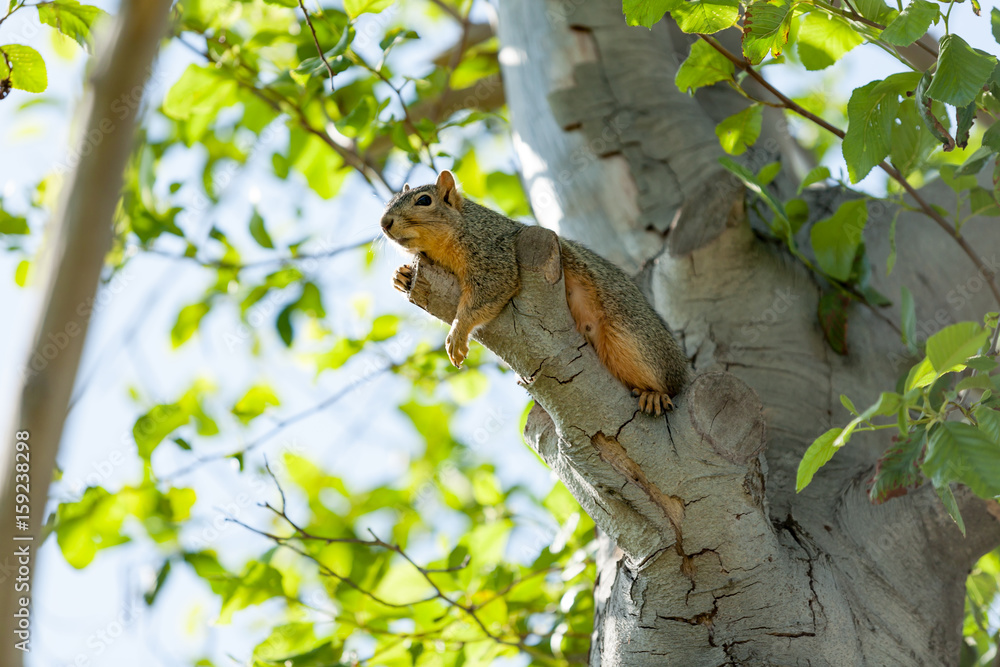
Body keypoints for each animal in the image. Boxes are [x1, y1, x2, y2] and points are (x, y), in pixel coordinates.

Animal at [381, 170, 690, 416]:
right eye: (389, 201)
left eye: (424, 201)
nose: (384, 223)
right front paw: (402, 275)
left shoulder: (494, 255)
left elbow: (486, 295)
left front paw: (457, 334)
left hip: (633, 337)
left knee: (669, 380)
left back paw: (655, 394)